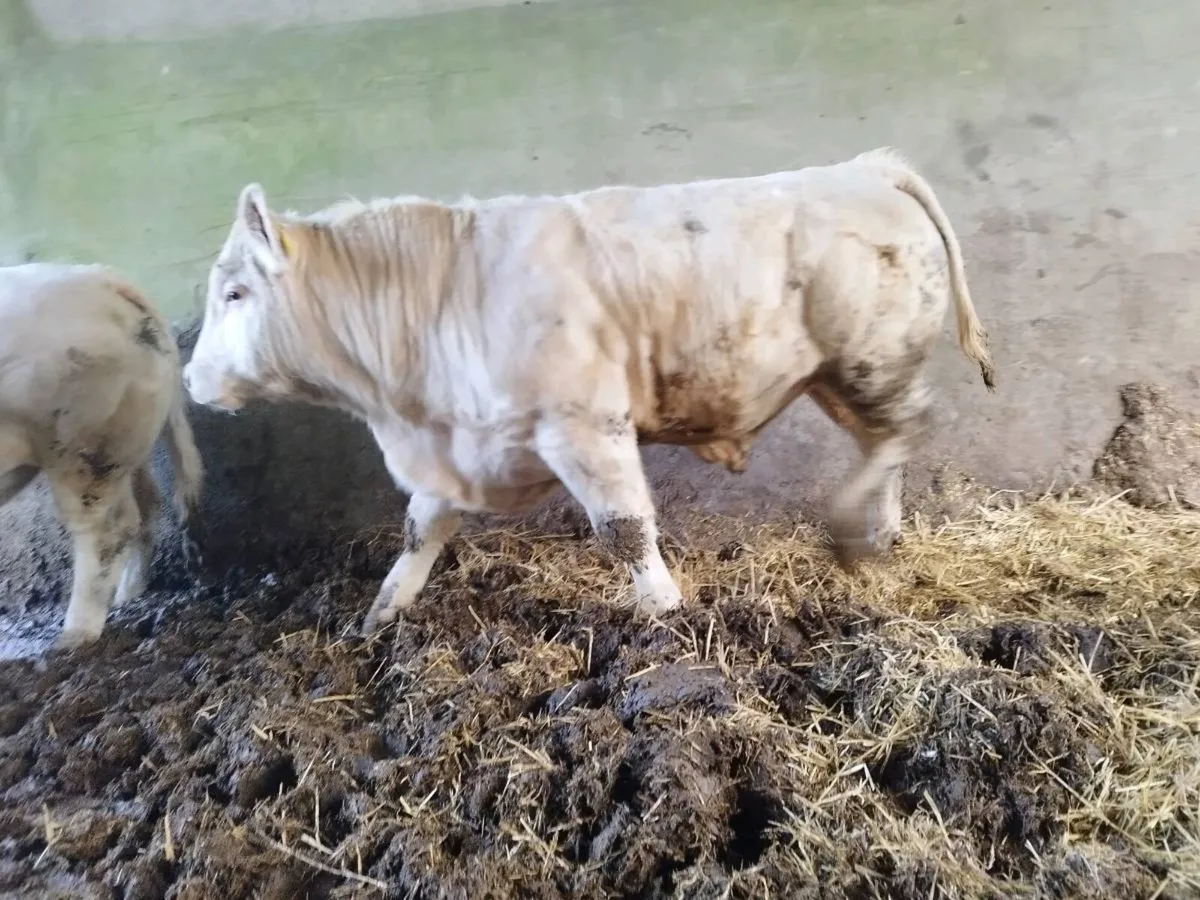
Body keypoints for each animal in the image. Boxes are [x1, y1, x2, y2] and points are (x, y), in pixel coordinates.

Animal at [0, 263, 205, 648]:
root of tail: (106, 280)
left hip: (81, 446)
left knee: (108, 528)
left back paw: (73, 639)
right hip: (127, 439)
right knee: (147, 504)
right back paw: (129, 595)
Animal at [183, 147, 995, 635]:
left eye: (234, 292)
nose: (189, 379)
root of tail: (863, 167)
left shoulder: (584, 425)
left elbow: (623, 527)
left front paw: (665, 612)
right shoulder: (460, 448)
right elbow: (420, 530)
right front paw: (380, 617)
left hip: (872, 361)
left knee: (905, 429)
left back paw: (855, 528)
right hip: (841, 378)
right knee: (884, 442)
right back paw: (882, 533)